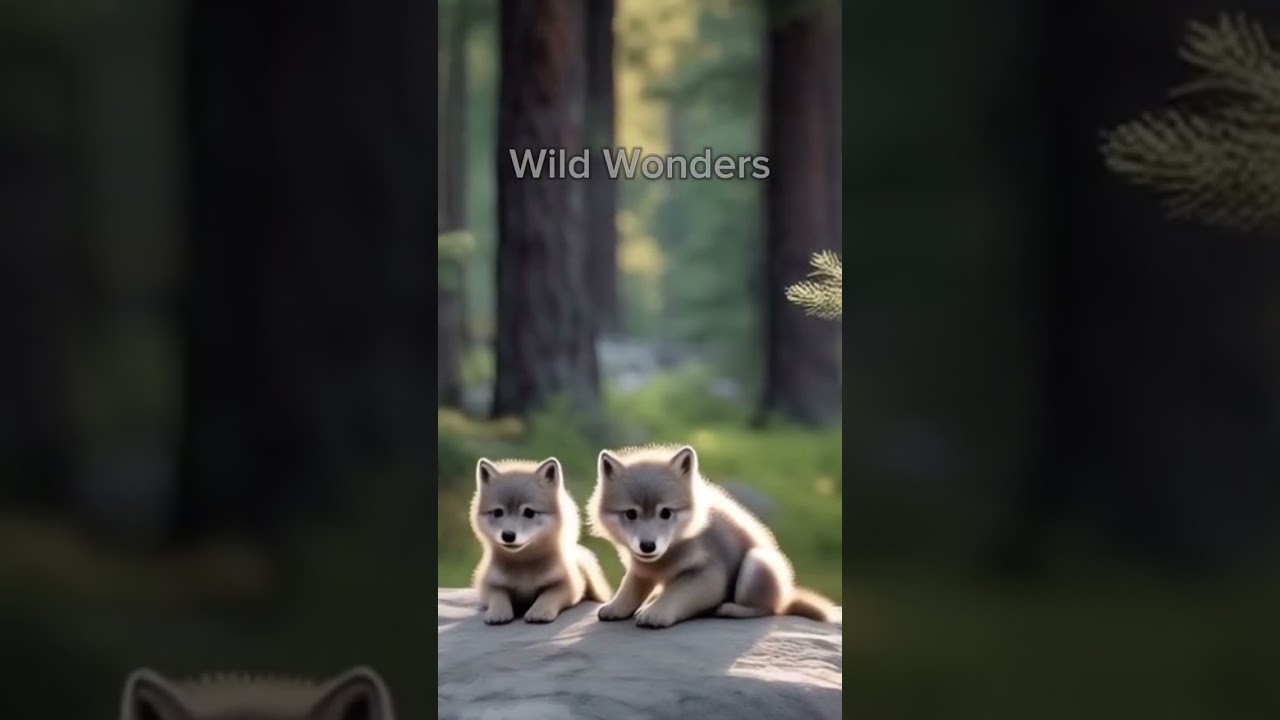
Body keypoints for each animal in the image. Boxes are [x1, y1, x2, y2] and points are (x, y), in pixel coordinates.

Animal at [469, 456, 612, 624]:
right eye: (498, 512)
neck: (524, 565)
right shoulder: (488, 583)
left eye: (529, 512)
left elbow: (548, 595)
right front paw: (497, 612)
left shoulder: (569, 584)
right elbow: (497, 595)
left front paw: (539, 611)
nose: (508, 535)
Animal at [587, 443, 836, 629]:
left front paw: (656, 613)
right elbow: (630, 586)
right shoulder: (642, 568)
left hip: (759, 563)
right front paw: (616, 607)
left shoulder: (710, 574)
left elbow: (679, 593)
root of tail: (788, 595)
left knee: (769, 608)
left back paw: (730, 609)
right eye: (630, 514)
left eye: (666, 512)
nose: (648, 546)